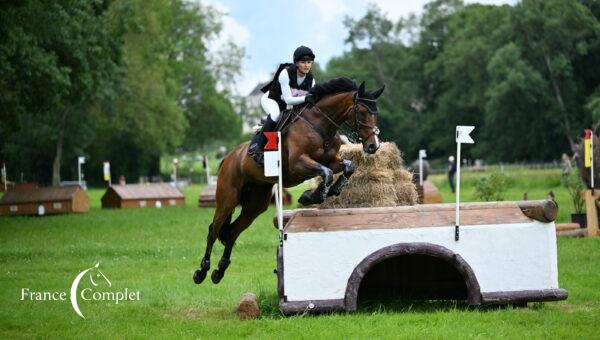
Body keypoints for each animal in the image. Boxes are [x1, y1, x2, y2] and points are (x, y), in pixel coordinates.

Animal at [195, 77, 386, 284]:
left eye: (376, 113)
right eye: (362, 112)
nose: (373, 146)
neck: (320, 126)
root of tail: (228, 157)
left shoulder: (332, 161)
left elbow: (348, 167)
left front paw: (328, 191)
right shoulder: (298, 163)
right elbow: (326, 173)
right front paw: (312, 196)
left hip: (256, 204)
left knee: (232, 232)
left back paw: (219, 271)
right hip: (228, 198)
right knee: (214, 230)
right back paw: (201, 271)